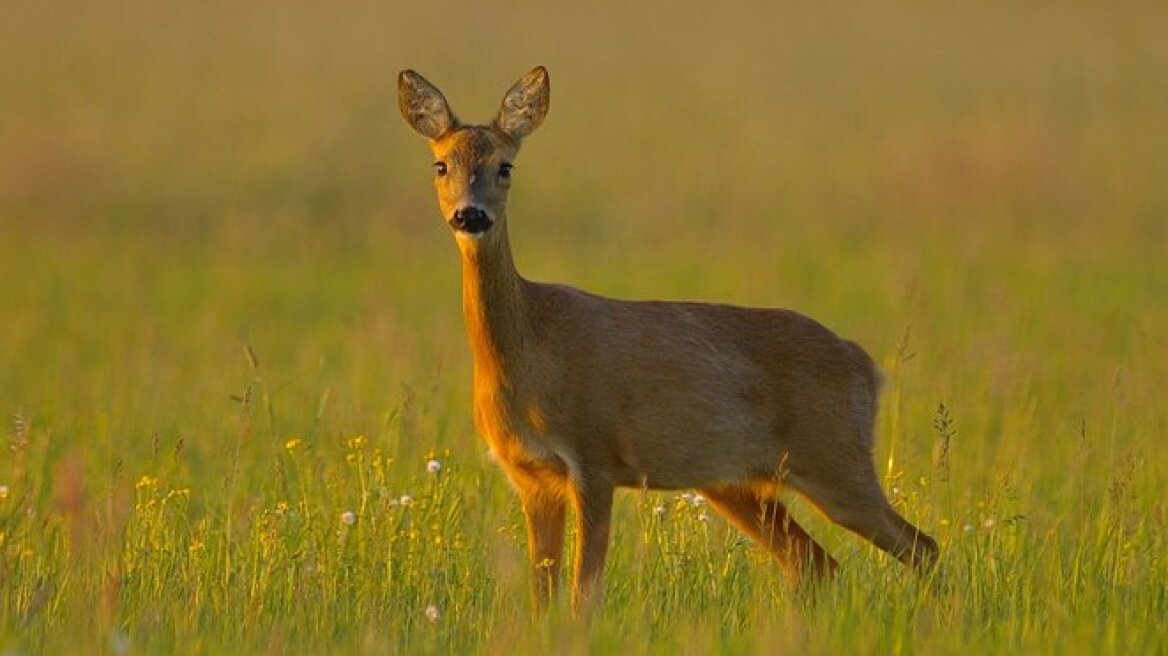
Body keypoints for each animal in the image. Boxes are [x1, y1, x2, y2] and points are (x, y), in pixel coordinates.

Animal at [397, 67, 934, 611]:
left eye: (505, 166)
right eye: (441, 165)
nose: (470, 215)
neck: (529, 348)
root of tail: (866, 366)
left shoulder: (594, 456)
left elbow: (583, 595)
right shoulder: (531, 476)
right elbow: (541, 596)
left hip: (838, 459)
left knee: (921, 545)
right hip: (738, 483)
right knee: (816, 561)